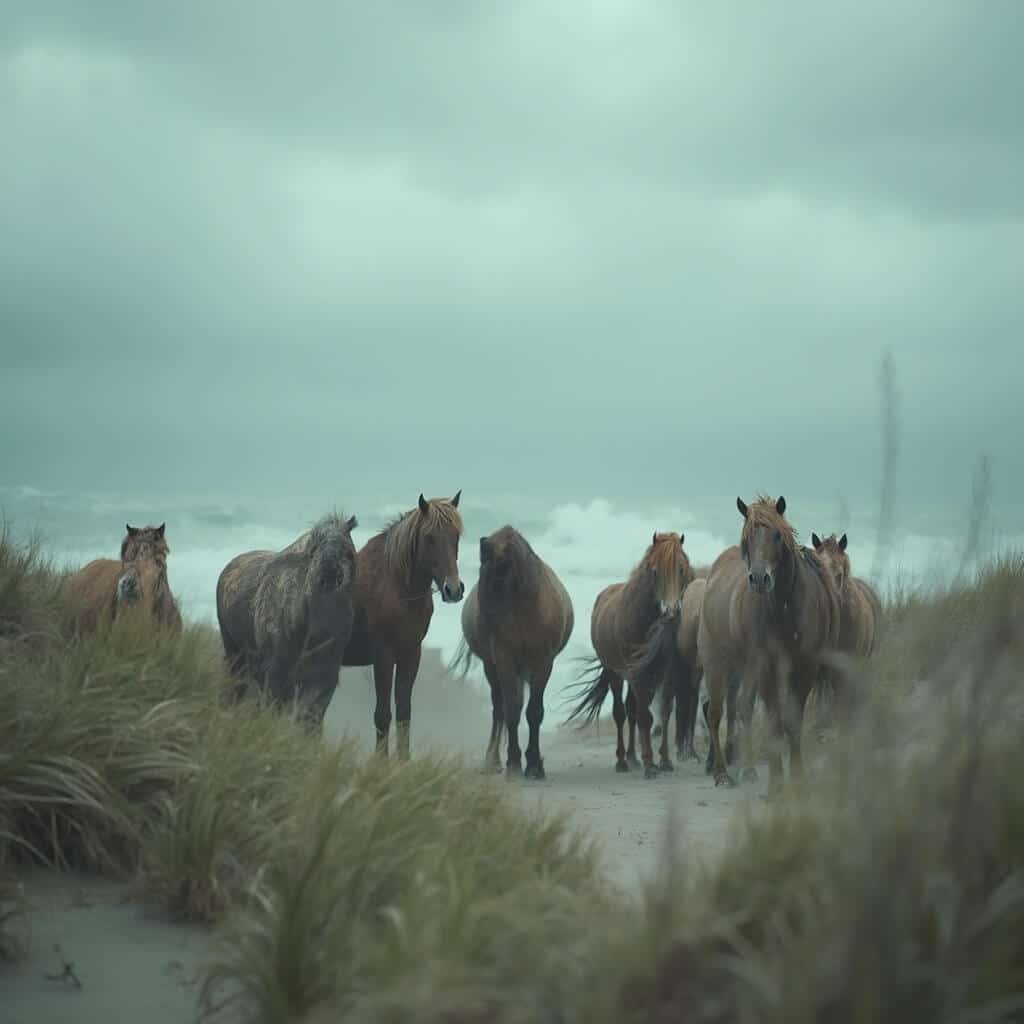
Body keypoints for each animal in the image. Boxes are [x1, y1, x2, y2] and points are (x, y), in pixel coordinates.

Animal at [215, 512, 359, 731]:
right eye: (313, 550)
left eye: (347, 549)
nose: (329, 575)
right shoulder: (276, 673)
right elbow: (276, 710)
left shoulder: (324, 677)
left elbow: (310, 717)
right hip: (235, 654)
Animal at [341, 492, 464, 761]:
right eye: (429, 538)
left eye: (456, 536)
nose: (453, 589)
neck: (396, 586)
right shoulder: (383, 656)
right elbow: (383, 713)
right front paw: (381, 762)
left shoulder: (411, 654)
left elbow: (404, 712)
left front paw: (404, 761)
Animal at [451, 526, 574, 779]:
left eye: (496, 576)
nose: (481, 627)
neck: (523, 609)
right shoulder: (504, 660)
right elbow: (512, 711)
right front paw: (515, 762)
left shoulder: (543, 662)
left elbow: (534, 712)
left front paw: (535, 764)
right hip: (492, 667)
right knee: (499, 708)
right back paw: (493, 760)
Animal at [563, 531, 692, 778]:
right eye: (655, 571)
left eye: (681, 569)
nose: (670, 612)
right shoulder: (637, 674)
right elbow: (644, 717)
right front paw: (650, 765)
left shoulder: (665, 674)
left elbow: (664, 712)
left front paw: (664, 761)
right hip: (616, 673)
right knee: (621, 712)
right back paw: (623, 761)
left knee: (632, 709)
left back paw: (633, 757)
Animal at [697, 495, 840, 792]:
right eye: (747, 537)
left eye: (776, 535)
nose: (760, 579)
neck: (784, 607)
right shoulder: (766, 668)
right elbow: (775, 722)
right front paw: (776, 781)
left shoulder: (804, 668)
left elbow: (792, 721)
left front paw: (797, 777)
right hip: (716, 663)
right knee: (715, 713)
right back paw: (722, 773)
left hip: (741, 669)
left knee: (740, 709)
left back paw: (743, 769)